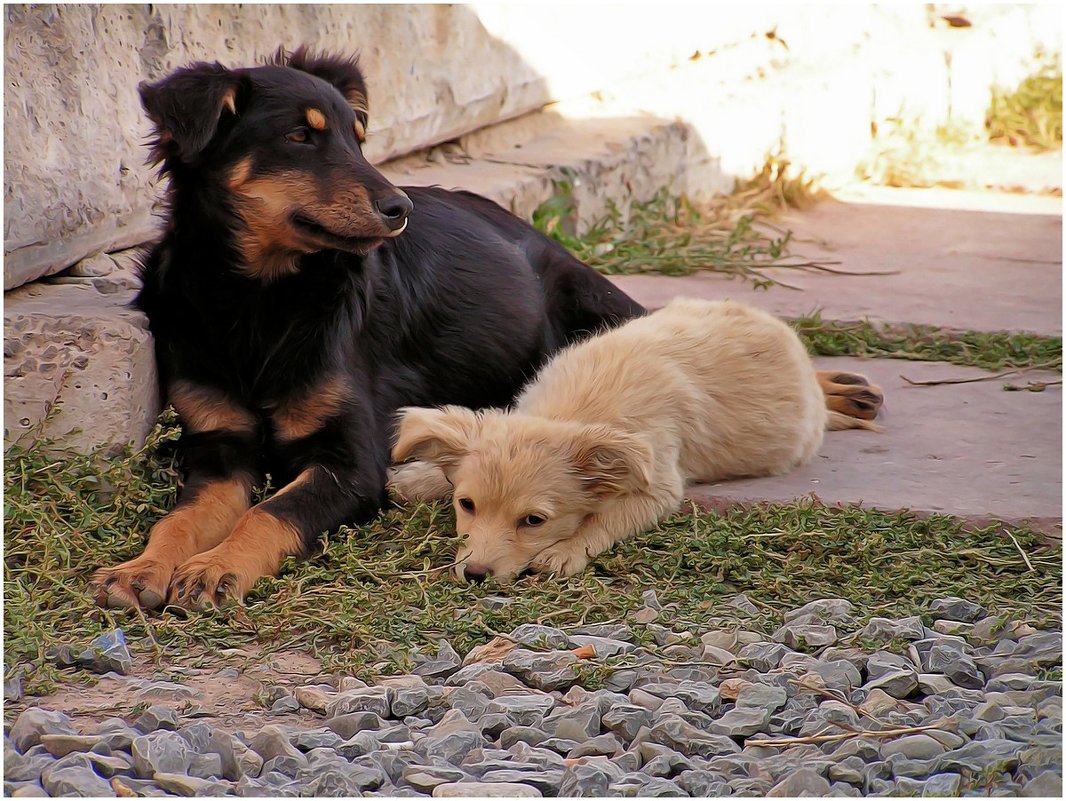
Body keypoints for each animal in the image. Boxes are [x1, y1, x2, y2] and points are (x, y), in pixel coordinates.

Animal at [93, 46, 639, 610]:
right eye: (299, 136)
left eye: (357, 139)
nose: (401, 208)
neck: (258, 299)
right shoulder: (218, 445)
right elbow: (181, 518)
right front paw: (142, 568)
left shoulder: (351, 465)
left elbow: (268, 513)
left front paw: (216, 567)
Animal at [392, 300, 882, 584]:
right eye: (467, 505)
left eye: (533, 521)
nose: (475, 574)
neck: (574, 411)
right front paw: (413, 478)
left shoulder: (658, 482)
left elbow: (606, 519)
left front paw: (565, 551)